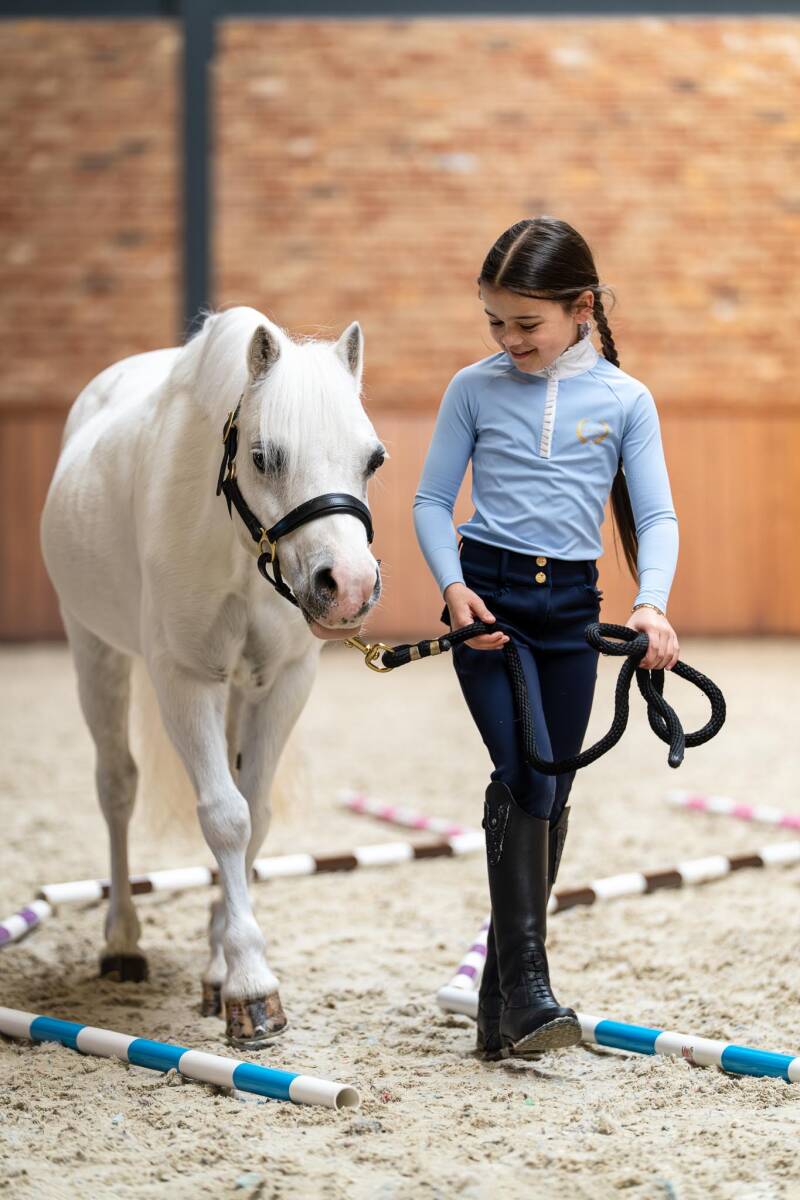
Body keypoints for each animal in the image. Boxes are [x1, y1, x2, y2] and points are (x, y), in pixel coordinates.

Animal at [40, 306, 385, 1047]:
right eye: (263, 456)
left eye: (373, 459)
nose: (346, 587)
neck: (236, 546)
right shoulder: (183, 679)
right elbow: (225, 817)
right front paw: (253, 987)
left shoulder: (283, 681)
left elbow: (253, 813)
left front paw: (226, 967)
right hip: (94, 649)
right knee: (117, 789)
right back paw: (122, 943)